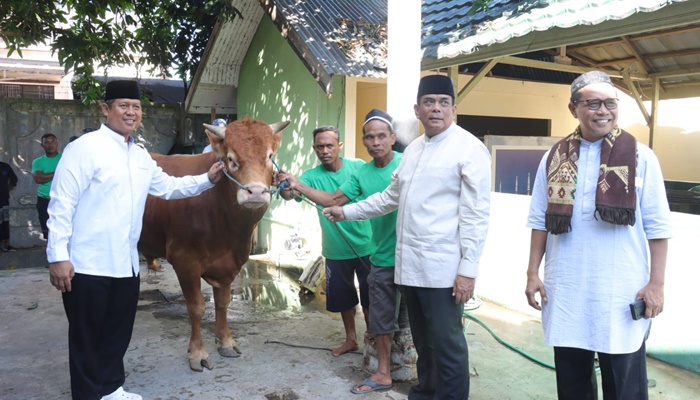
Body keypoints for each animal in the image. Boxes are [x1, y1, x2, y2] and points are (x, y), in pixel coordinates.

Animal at [139, 118, 288, 372]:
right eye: (230, 158)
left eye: (269, 156)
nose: (256, 192)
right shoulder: (184, 261)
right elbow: (197, 307)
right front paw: (197, 353)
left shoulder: (229, 263)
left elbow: (222, 303)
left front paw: (226, 342)